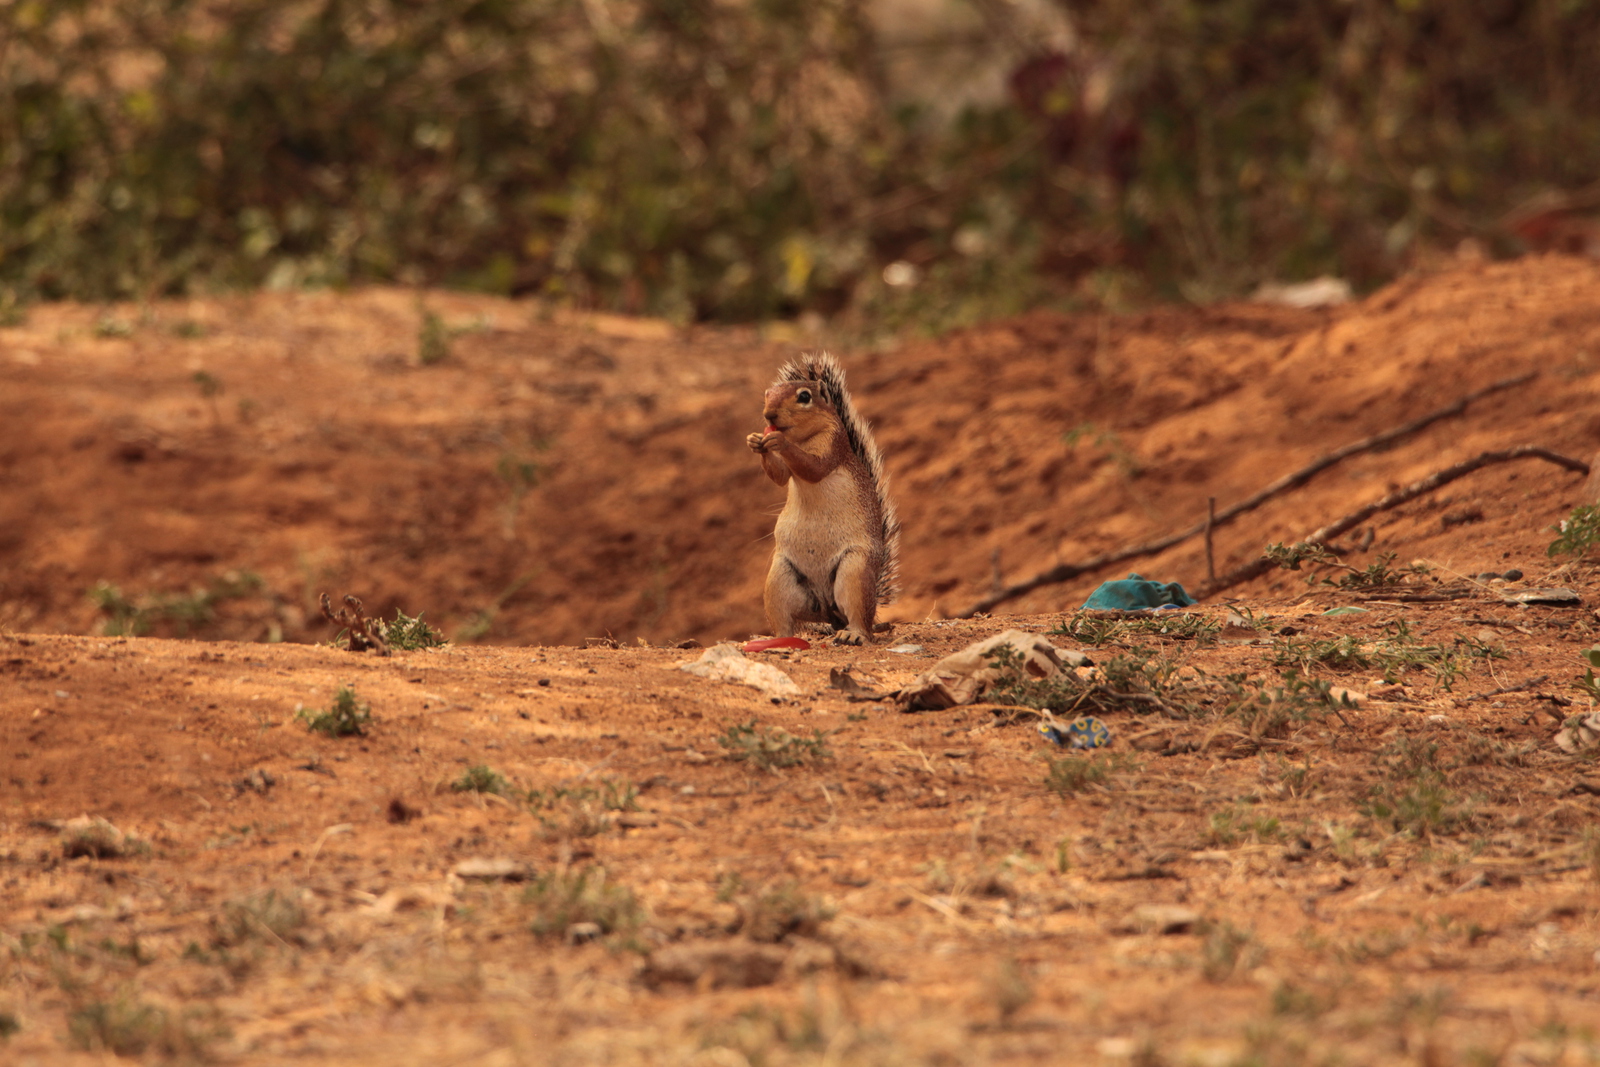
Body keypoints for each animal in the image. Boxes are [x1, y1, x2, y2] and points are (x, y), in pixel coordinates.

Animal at [745, 355, 902, 646]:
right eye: (767, 394)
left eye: (804, 397)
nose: (768, 415)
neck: (804, 438)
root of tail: (829, 611)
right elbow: (781, 476)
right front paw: (755, 441)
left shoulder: (833, 443)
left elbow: (814, 468)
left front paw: (779, 441)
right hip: (779, 581)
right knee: (786, 621)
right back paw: (775, 638)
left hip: (854, 572)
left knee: (859, 617)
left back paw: (855, 634)